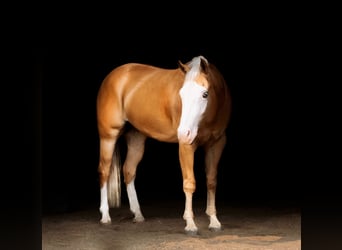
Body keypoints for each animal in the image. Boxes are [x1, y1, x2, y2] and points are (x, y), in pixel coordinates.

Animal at [95, 55, 231, 234]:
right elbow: (189, 183)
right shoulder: (187, 145)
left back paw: (138, 214)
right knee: (104, 171)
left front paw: (214, 221)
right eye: (181, 94)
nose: (183, 133)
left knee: (129, 170)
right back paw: (105, 216)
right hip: (108, 136)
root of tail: (113, 76)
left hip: (136, 138)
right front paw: (190, 223)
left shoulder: (217, 144)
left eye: (205, 94)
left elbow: (211, 181)